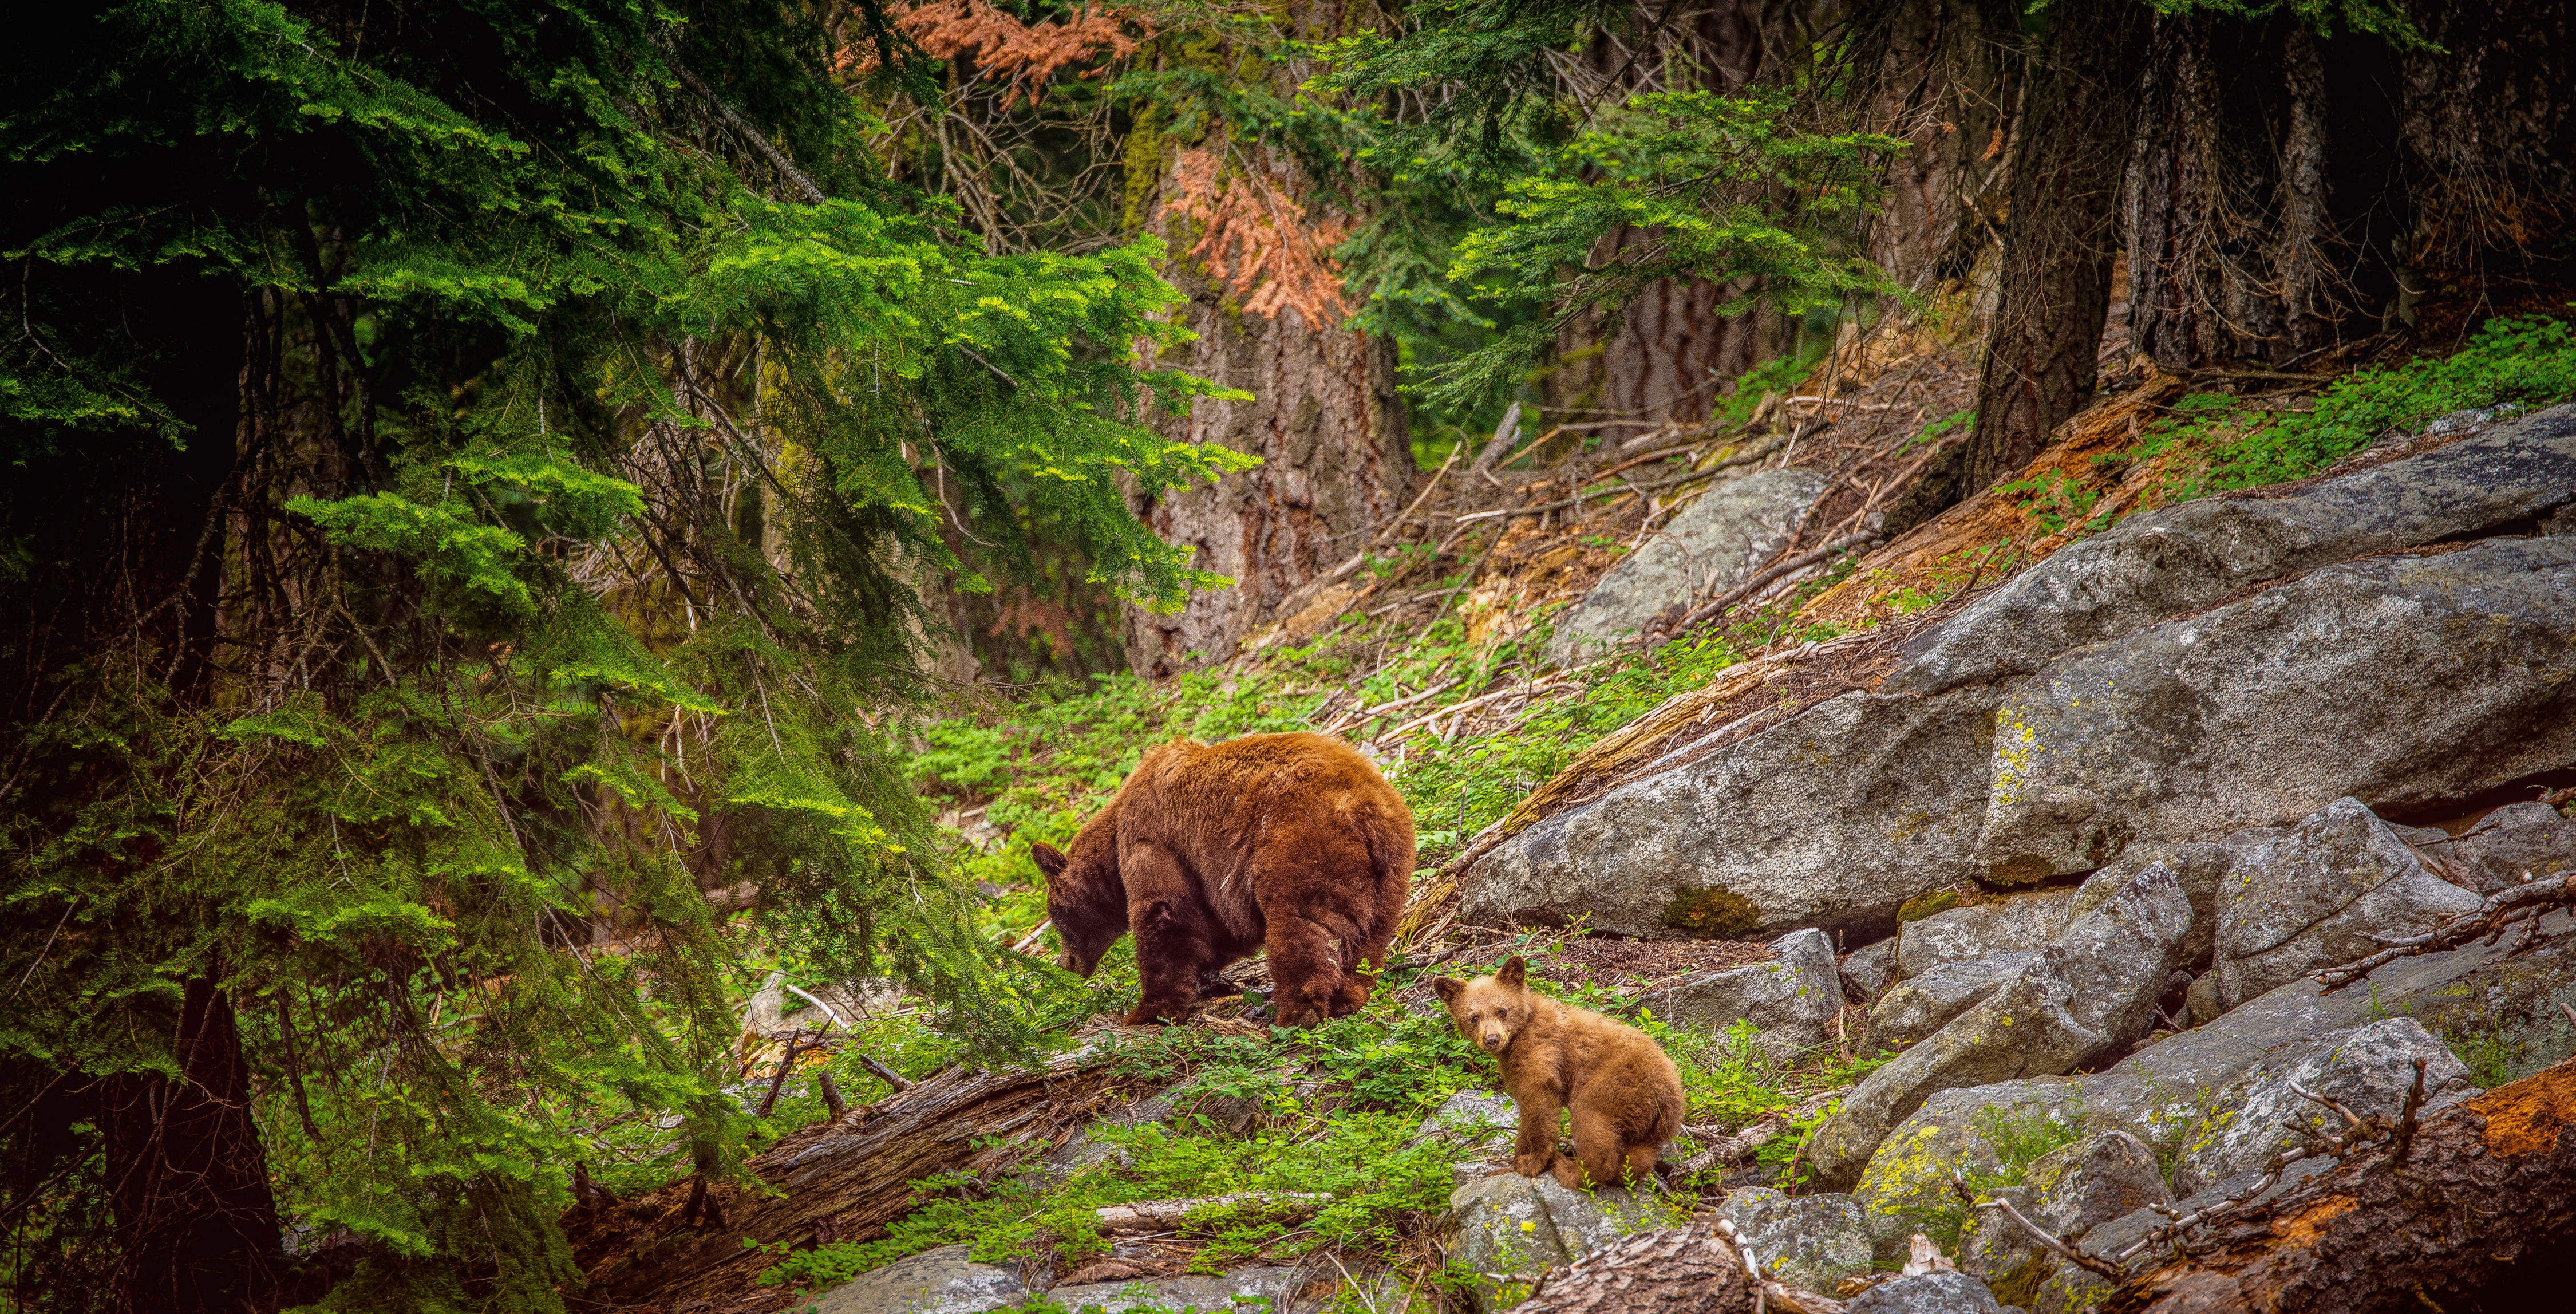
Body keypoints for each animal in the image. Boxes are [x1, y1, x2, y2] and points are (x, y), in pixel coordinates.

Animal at [1025, 727, 1412, 1025]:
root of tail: (1362, 806)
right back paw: (1348, 996)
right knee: (1369, 937)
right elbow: (1217, 928)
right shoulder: (1210, 879)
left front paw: (1146, 1011)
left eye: (1055, 918)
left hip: (1300, 842)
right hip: (1390, 869)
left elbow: (1164, 914)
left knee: (1300, 923)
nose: (1065, 965)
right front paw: (1208, 978)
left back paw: (1296, 1012)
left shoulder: (1153, 841)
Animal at [1432, 953, 1690, 1190]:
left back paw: (1571, 1171)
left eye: (1502, 1011)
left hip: (1612, 1086)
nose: (1492, 1040)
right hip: (1646, 1122)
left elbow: (1540, 1102)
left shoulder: (1541, 1050)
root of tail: (1669, 1096)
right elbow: (1526, 1109)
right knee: (1640, 1155)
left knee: (1591, 1123)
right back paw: (1622, 1177)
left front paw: (1533, 1162)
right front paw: (1513, 1161)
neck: (1521, 1031)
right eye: (1473, 1017)